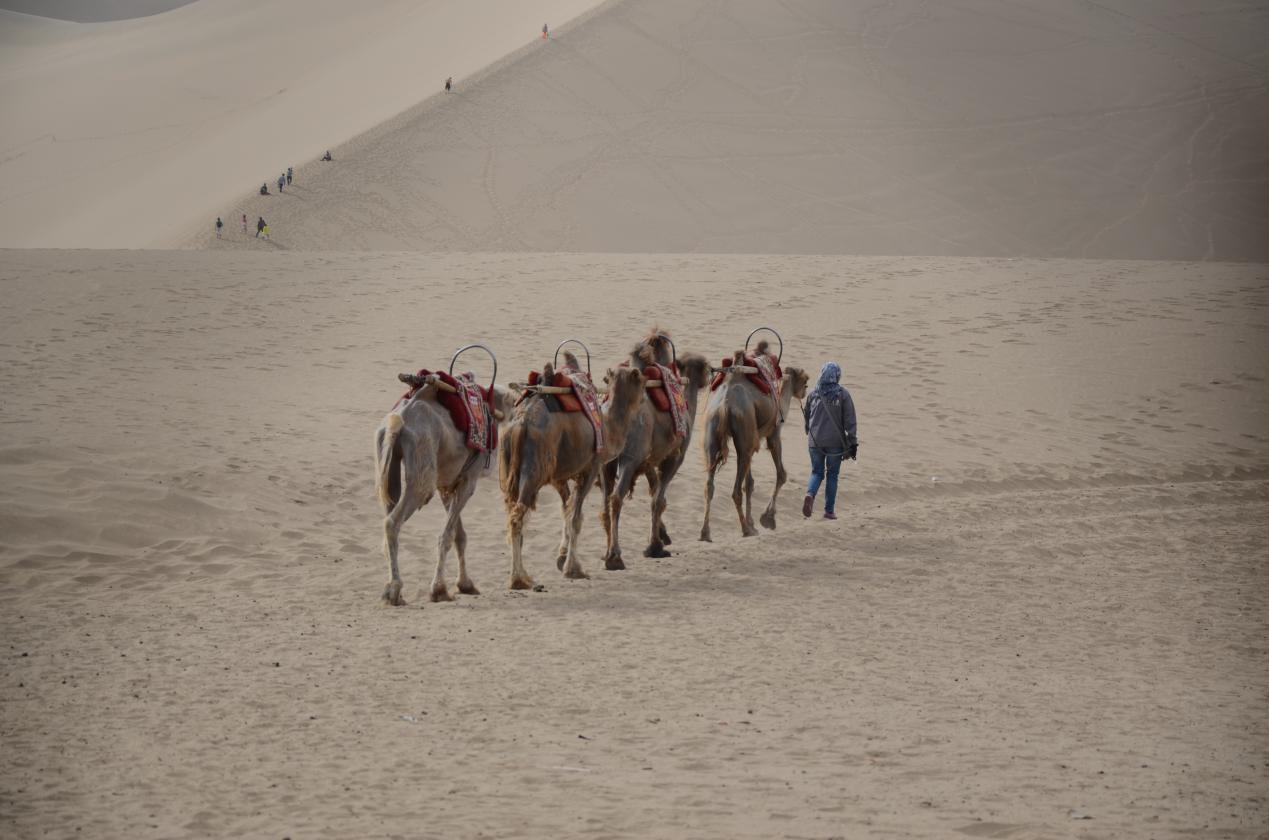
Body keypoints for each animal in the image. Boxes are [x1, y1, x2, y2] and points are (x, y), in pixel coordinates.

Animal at [370, 352, 515, 609]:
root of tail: (399, 420)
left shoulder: (447, 483)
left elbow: (459, 535)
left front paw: (466, 584)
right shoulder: (468, 479)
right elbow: (447, 536)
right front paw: (439, 589)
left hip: (387, 463)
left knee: (388, 512)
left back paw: (391, 589)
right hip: (422, 471)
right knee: (393, 521)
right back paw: (394, 590)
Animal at [499, 352, 649, 588]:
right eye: (641, 380)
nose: (644, 397)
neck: (608, 428)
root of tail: (521, 423)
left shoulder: (559, 476)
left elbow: (566, 510)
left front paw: (562, 559)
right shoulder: (591, 467)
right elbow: (576, 517)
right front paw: (574, 569)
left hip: (508, 470)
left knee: (513, 514)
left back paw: (521, 576)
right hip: (534, 469)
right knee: (517, 518)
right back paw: (519, 579)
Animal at [596, 334, 710, 573]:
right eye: (705, 365)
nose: (710, 376)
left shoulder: (648, 461)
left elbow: (654, 490)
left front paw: (662, 536)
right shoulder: (674, 457)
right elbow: (658, 499)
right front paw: (655, 546)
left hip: (606, 463)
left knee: (605, 501)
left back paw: (606, 553)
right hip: (628, 459)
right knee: (616, 497)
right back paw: (615, 556)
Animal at [700, 340, 807, 543]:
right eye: (806, 381)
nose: (804, 392)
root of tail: (725, 405)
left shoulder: (753, 440)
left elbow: (749, 483)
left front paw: (754, 521)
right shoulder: (773, 434)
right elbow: (781, 474)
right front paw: (767, 518)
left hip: (713, 431)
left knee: (710, 485)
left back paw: (705, 533)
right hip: (743, 432)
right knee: (735, 491)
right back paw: (745, 530)